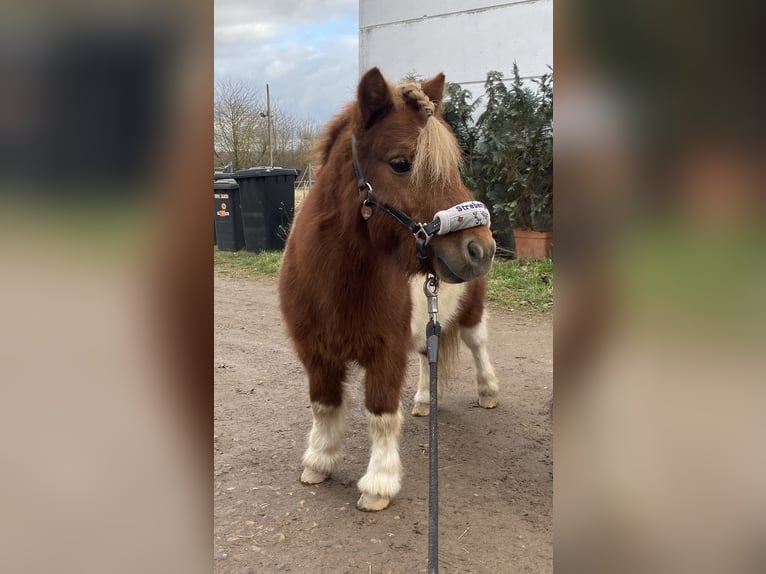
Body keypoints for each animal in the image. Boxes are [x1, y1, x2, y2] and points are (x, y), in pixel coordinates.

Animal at [280, 67, 500, 512]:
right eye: (401, 163)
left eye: (452, 166)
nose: (480, 249)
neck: (336, 282)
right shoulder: (316, 354)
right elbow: (324, 407)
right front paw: (319, 462)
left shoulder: (385, 354)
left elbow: (380, 415)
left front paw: (379, 484)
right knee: (428, 356)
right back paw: (423, 402)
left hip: (471, 311)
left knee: (477, 343)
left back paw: (487, 390)